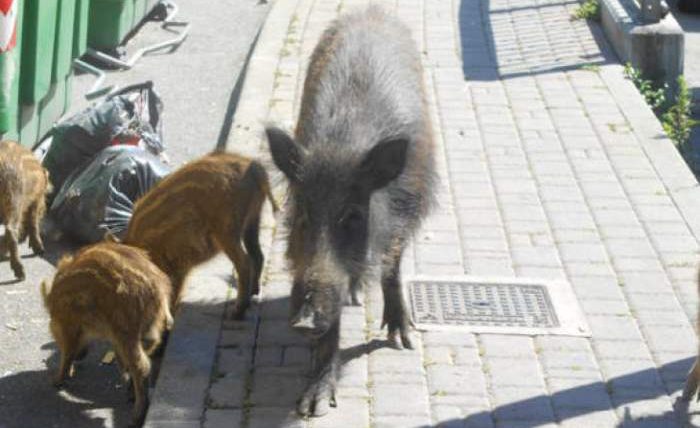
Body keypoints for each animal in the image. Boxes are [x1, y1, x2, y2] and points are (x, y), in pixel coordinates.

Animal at [0, 140, 51, 280]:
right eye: (44, 196)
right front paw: (40, 251)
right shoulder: (35, 202)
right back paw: (21, 274)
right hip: (14, 200)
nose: (44, 210)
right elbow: (33, 223)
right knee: (11, 229)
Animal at [41, 239, 173, 426]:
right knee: (141, 359)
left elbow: (67, 352)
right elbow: (120, 360)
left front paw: (56, 381)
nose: (81, 355)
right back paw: (131, 397)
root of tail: (158, 292)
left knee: (142, 366)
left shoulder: (68, 325)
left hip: (127, 329)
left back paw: (136, 417)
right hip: (146, 331)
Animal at [124, 151, 278, 318]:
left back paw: (237, 312)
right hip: (253, 219)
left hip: (227, 229)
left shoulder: (177, 265)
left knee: (244, 263)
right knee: (257, 254)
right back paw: (253, 294)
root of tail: (256, 170)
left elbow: (174, 292)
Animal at [265, 6, 436, 416]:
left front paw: (403, 341)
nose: (303, 321)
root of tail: (371, 12)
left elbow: (391, 268)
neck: (342, 147)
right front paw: (312, 407)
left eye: (353, 217)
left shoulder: (404, 215)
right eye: (303, 215)